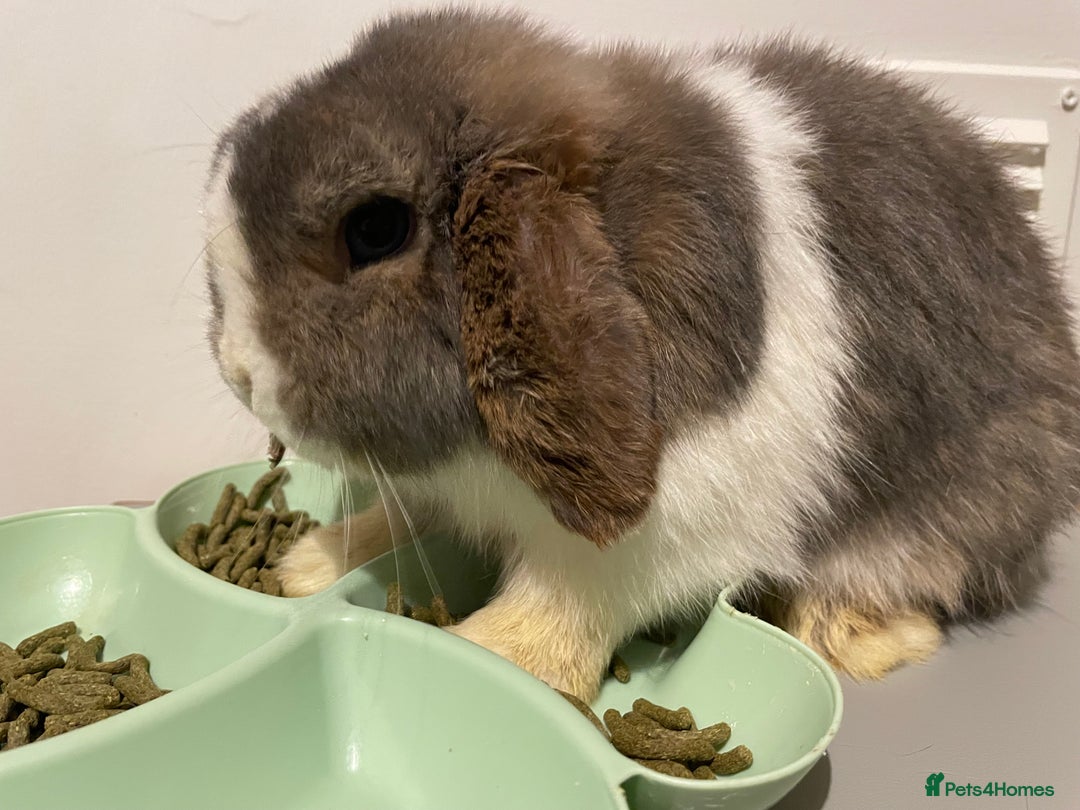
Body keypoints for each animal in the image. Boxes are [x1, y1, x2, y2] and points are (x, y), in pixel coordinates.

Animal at [203, 8, 1080, 700]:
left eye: (375, 229)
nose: (240, 374)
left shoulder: (657, 533)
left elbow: (570, 597)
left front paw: (494, 653)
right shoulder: (442, 487)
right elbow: (405, 515)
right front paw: (310, 565)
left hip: (953, 511)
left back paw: (856, 637)